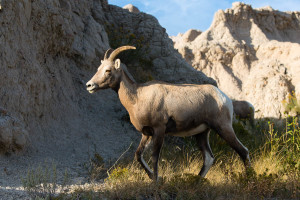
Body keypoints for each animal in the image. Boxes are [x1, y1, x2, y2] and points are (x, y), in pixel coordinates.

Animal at [85, 46, 251, 182]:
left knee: (243, 151)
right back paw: (196, 181)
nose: (89, 85)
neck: (138, 97)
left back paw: (250, 180)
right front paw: (152, 177)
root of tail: (224, 98)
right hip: (202, 134)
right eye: (99, 68)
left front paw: (156, 181)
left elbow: (154, 157)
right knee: (209, 158)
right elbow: (138, 155)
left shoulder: (159, 130)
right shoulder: (146, 134)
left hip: (223, 128)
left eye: (108, 70)